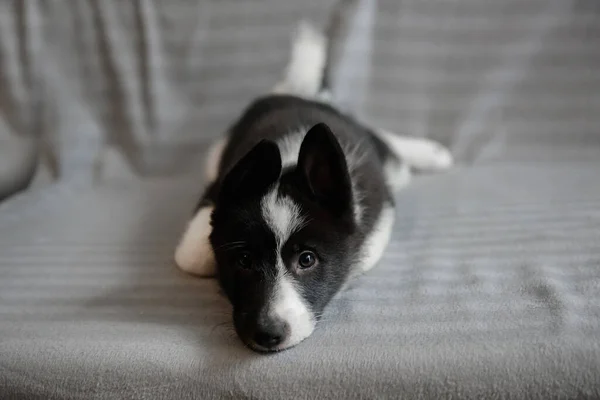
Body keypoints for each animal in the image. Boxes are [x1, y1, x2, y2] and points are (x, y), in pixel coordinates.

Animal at [173, 3, 450, 354]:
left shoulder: (377, 217)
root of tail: (299, 94)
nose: (268, 333)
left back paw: (432, 152)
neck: (289, 164)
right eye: (244, 260)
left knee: (387, 146)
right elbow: (193, 258)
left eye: (307, 260)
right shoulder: (213, 195)